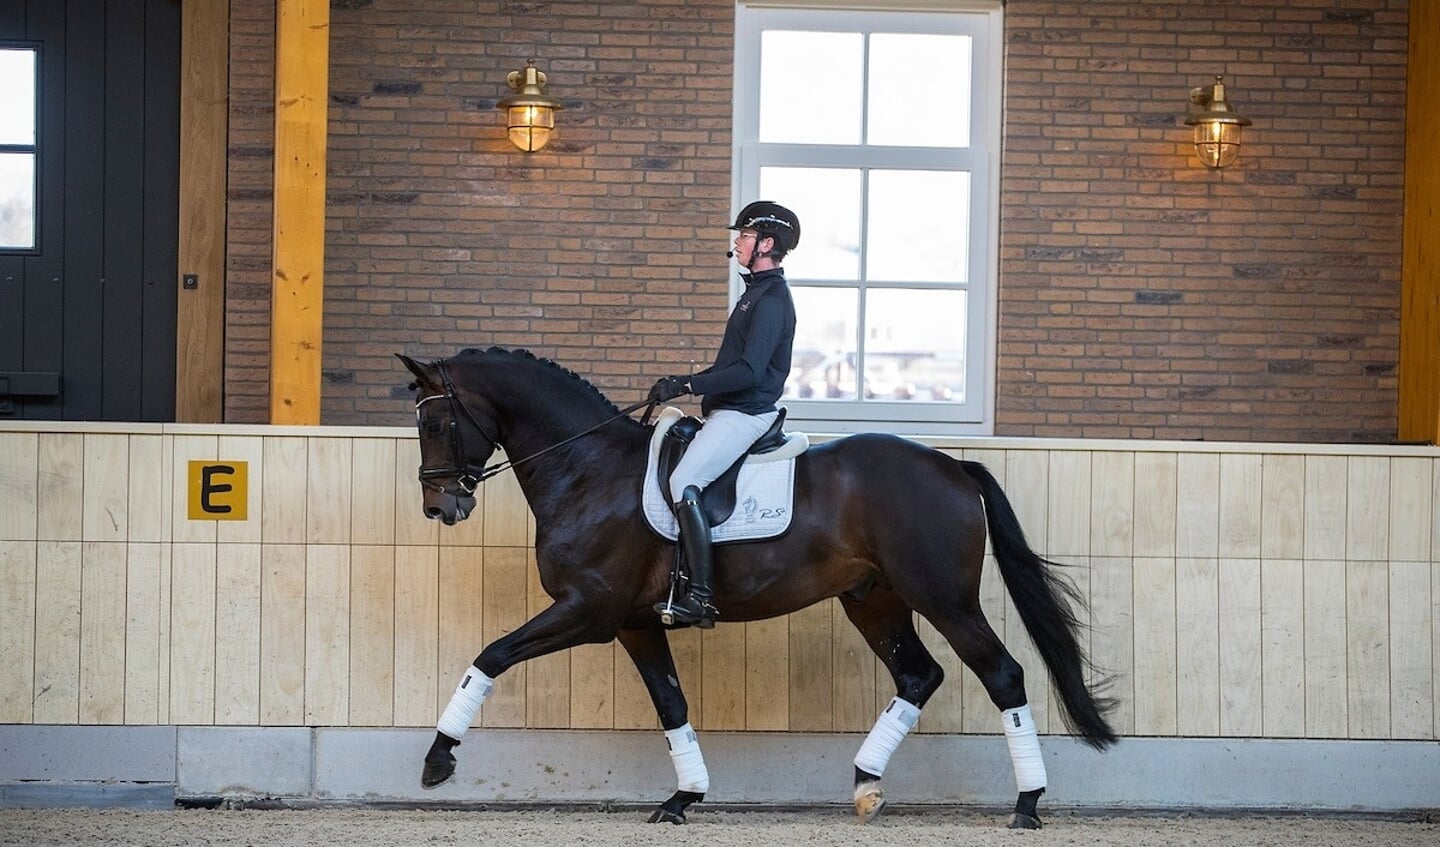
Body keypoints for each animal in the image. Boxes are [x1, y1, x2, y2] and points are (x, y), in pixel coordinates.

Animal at [400, 347, 1117, 829]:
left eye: (434, 424)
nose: (440, 506)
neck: (587, 468)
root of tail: (954, 466)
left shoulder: (589, 611)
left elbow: (491, 655)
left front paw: (438, 760)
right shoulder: (636, 622)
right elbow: (671, 703)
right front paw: (683, 798)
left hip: (945, 599)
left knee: (1003, 674)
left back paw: (1026, 804)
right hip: (874, 599)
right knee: (919, 675)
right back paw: (865, 784)